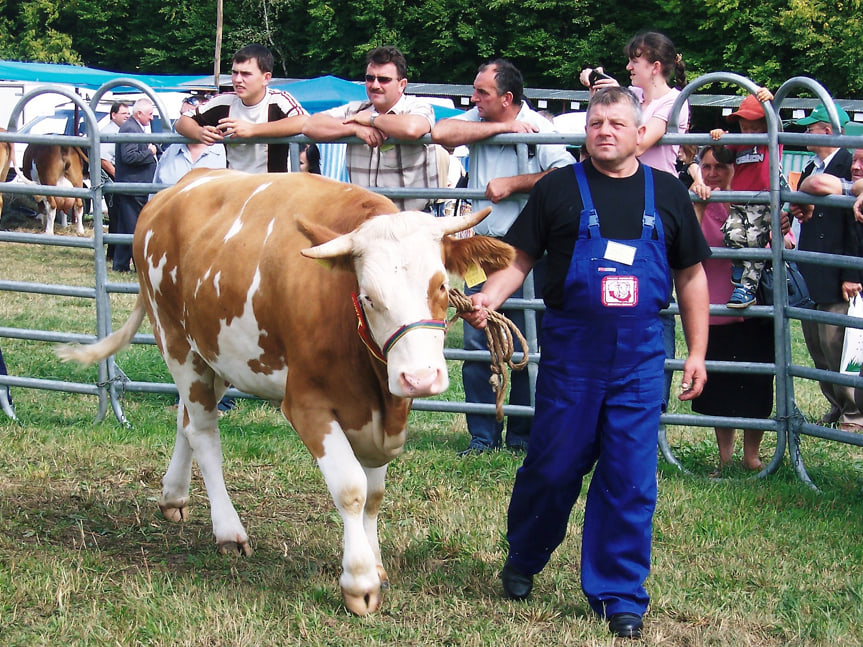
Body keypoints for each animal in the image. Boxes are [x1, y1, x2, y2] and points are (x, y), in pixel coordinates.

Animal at [60, 170, 516, 616]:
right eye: (368, 297)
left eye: (440, 286)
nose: (419, 378)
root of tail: (176, 189)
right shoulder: (306, 404)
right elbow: (351, 489)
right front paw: (360, 582)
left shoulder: (382, 412)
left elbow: (374, 496)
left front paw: (376, 565)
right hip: (175, 341)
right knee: (204, 434)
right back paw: (228, 531)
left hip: (216, 354)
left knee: (186, 419)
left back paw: (173, 495)